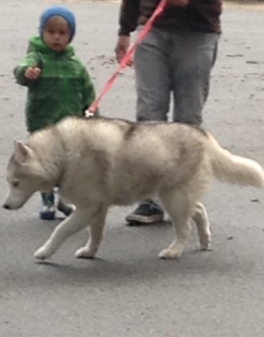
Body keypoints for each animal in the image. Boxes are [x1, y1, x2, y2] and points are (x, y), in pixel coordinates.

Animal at [2, 116, 264, 260]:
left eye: (15, 182)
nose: (5, 206)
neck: (62, 154)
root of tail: (204, 135)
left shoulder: (87, 208)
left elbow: (61, 230)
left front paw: (45, 252)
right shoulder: (97, 209)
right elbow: (96, 234)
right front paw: (90, 252)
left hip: (173, 198)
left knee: (185, 226)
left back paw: (174, 251)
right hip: (175, 193)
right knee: (198, 210)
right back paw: (204, 240)